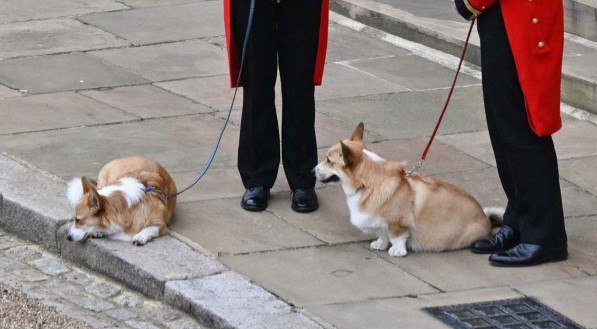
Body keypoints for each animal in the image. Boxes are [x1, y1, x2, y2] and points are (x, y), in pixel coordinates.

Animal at [314, 123, 500, 256]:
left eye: (328, 160)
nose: (312, 170)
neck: (368, 183)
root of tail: (486, 218)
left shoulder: (399, 223)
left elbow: (397, 237)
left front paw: (397, 251)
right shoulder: (379, 223)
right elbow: (382, 234)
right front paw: (380, 244)